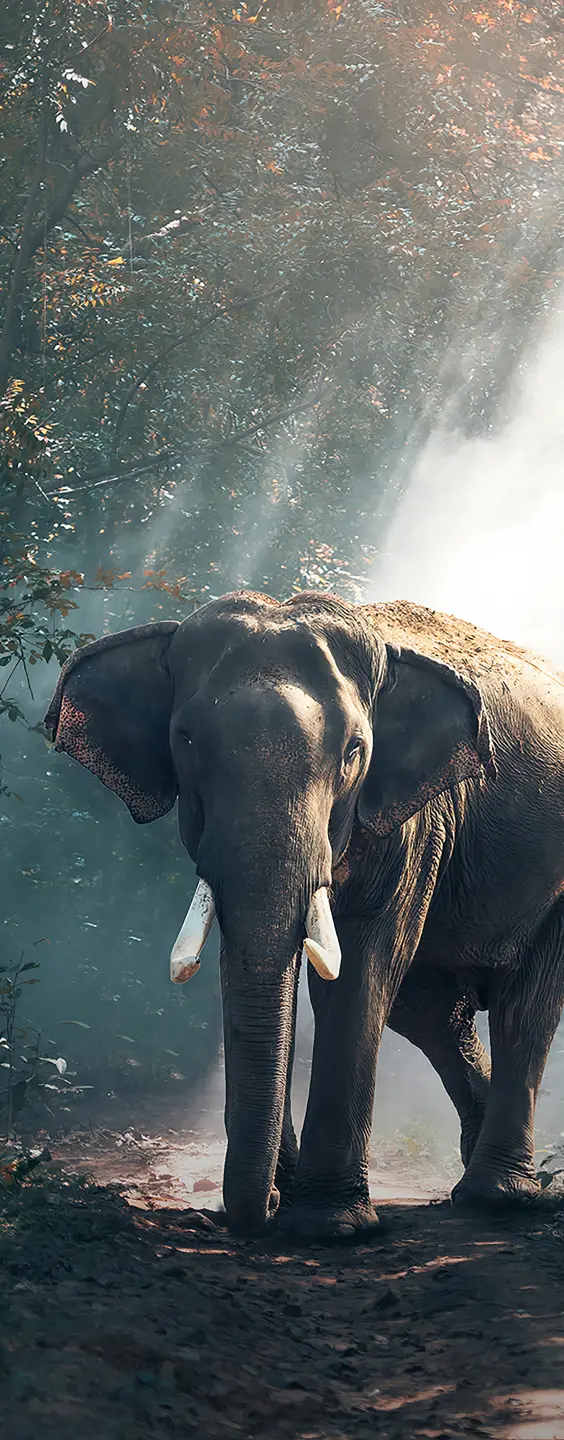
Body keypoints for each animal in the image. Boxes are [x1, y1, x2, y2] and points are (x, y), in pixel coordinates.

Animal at [44, 590, 564, 1239]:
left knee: (524, 1006)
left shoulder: (416, 822)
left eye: (354, 752)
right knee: (431, 1011)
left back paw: (500, 1197)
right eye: (185, 740)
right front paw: (287, 1199)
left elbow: (361, 970)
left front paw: (327, 1226)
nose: (260, 1209)